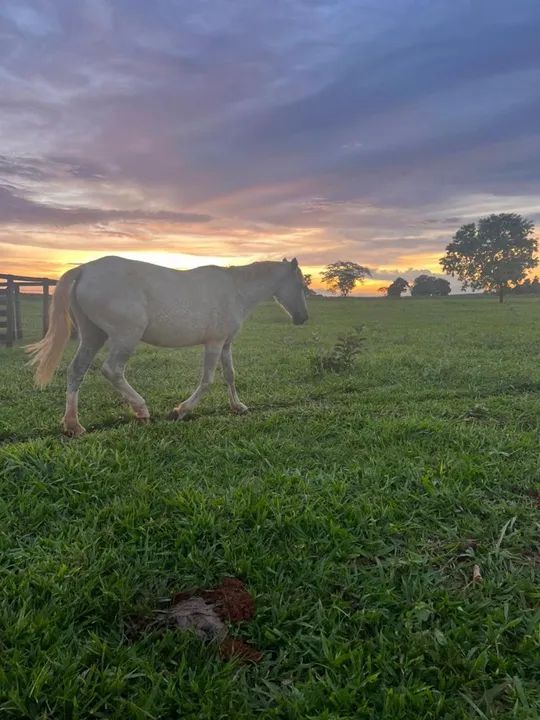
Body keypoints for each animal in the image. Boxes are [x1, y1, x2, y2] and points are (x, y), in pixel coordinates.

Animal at [26, 255, 308, 436]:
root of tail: (84, 269)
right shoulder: (214, 343)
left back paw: (73, 425)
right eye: (300, 284)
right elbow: (207, 380)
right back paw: (141, 410)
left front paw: (238, 407)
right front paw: (180, 411)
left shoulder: (226, 344)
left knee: (76, 371)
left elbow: (230, 375)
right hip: (125, 336)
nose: (303, 318)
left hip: (92, 336)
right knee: (111, 370)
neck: (236, 290)